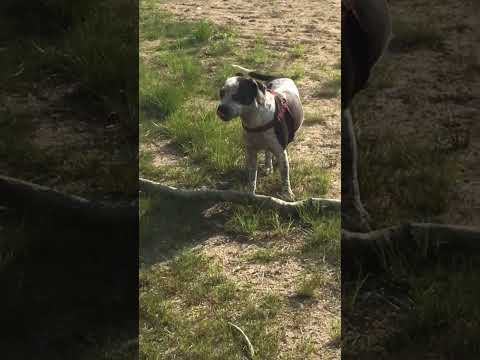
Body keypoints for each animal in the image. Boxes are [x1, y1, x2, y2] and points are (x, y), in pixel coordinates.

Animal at [218, 64, 304, 200]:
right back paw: (268, 166)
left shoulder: (281, 152)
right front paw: (250, 193)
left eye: (237, 96)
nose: (220, 109)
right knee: (268, 152)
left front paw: (287, 194)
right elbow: (252, 176)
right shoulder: (251, 152)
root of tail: (278, 77)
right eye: (221, 94)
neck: (255, 120)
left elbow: (285, 176)